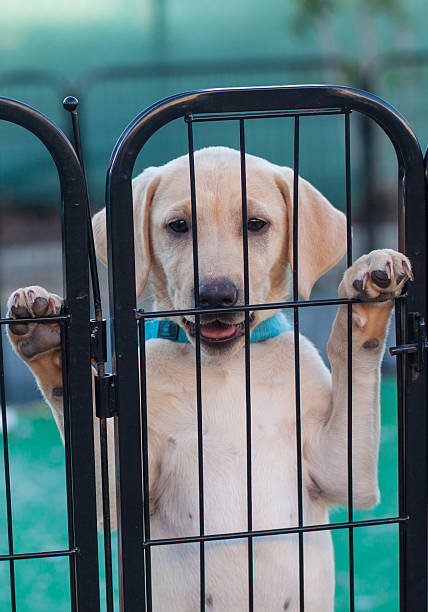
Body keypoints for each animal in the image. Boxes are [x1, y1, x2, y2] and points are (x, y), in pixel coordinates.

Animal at [5, 146, 412, 608]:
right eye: (179, 226)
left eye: (256, 224)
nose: (216, 295)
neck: (225, 368)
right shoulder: (116, 496)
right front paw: (52, 348)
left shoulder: (341, 472)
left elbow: (352, 358)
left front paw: (369, 299)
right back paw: (44, 340)